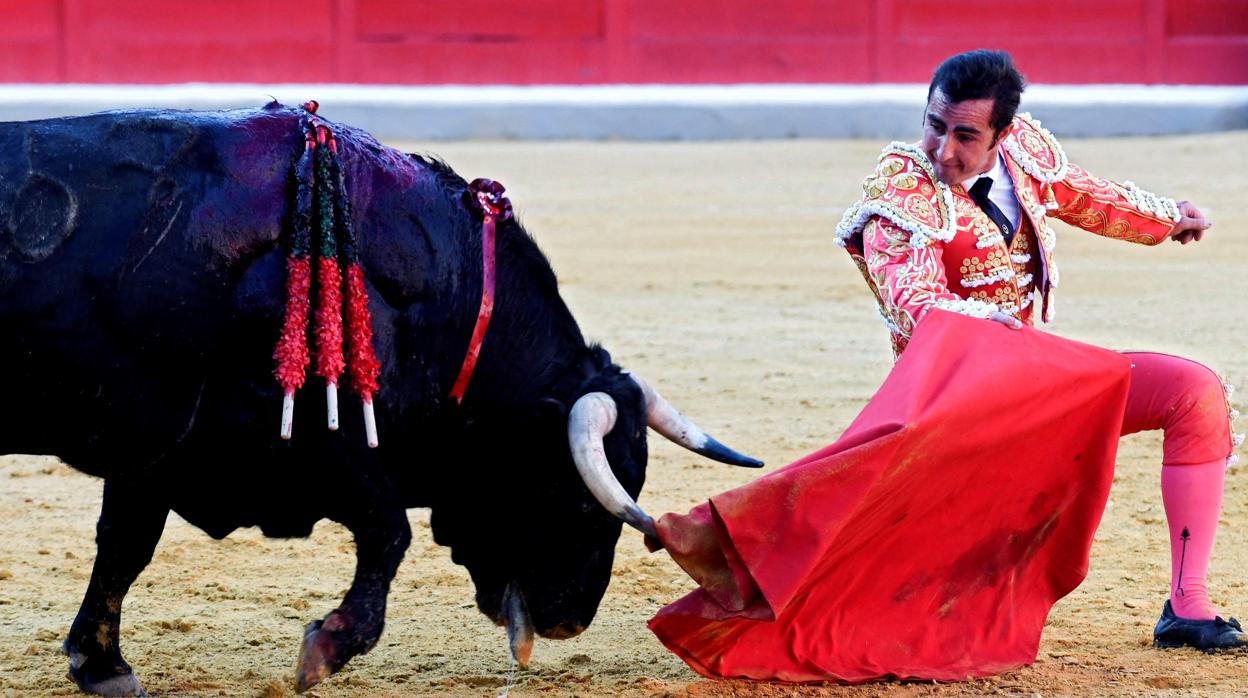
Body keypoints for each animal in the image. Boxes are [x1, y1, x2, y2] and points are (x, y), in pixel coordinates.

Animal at [0, 106, 758, 694]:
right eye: (573, 498)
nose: (572, 618)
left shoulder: (155, 448)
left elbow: (124, 545)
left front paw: (100, 665)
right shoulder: (311, 432)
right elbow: (390, 528)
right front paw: (327, 646)